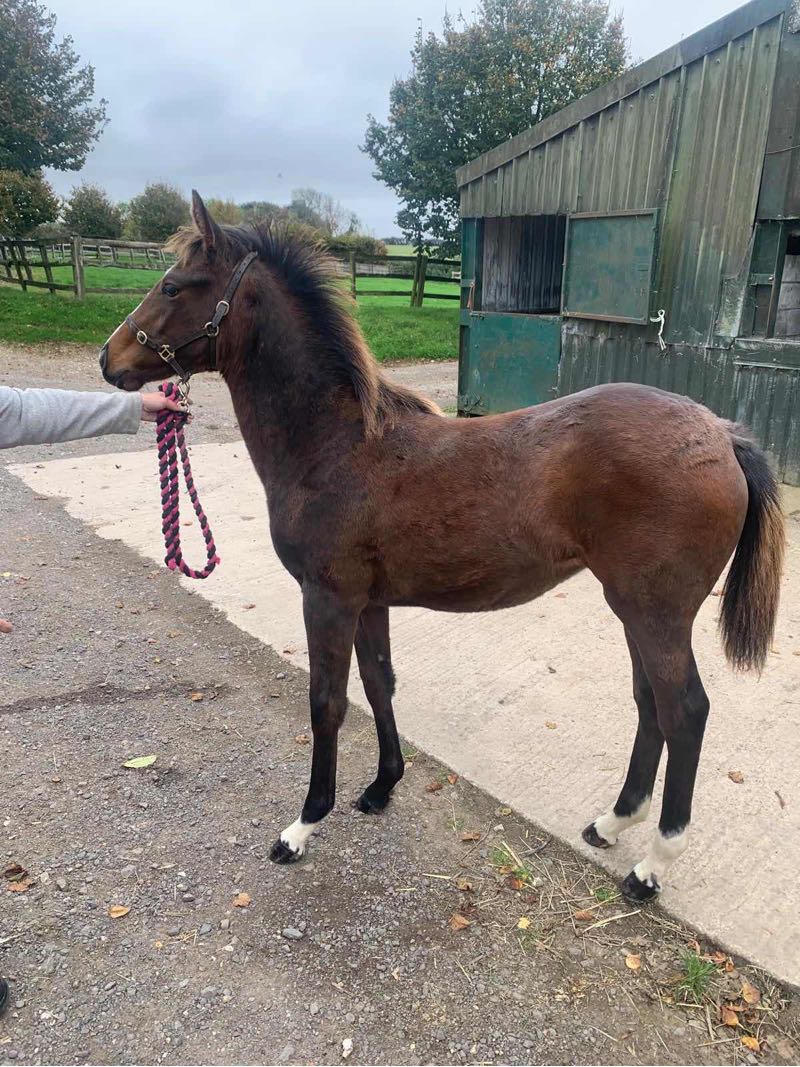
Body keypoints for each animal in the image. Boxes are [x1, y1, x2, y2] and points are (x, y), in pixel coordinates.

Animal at [99, 192, 784, 902]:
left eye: (173, 286)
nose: (108, 359)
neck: (338, 444)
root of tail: (722, 433)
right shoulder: (368, 602)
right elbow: (380, 684)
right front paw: (381, 787)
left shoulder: (327, 599)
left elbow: (327, 702)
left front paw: (303, 825)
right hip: (635, 611)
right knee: (650, 706)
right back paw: (611, 822)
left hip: (657, 614)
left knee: (685, 713)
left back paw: (652, 866)